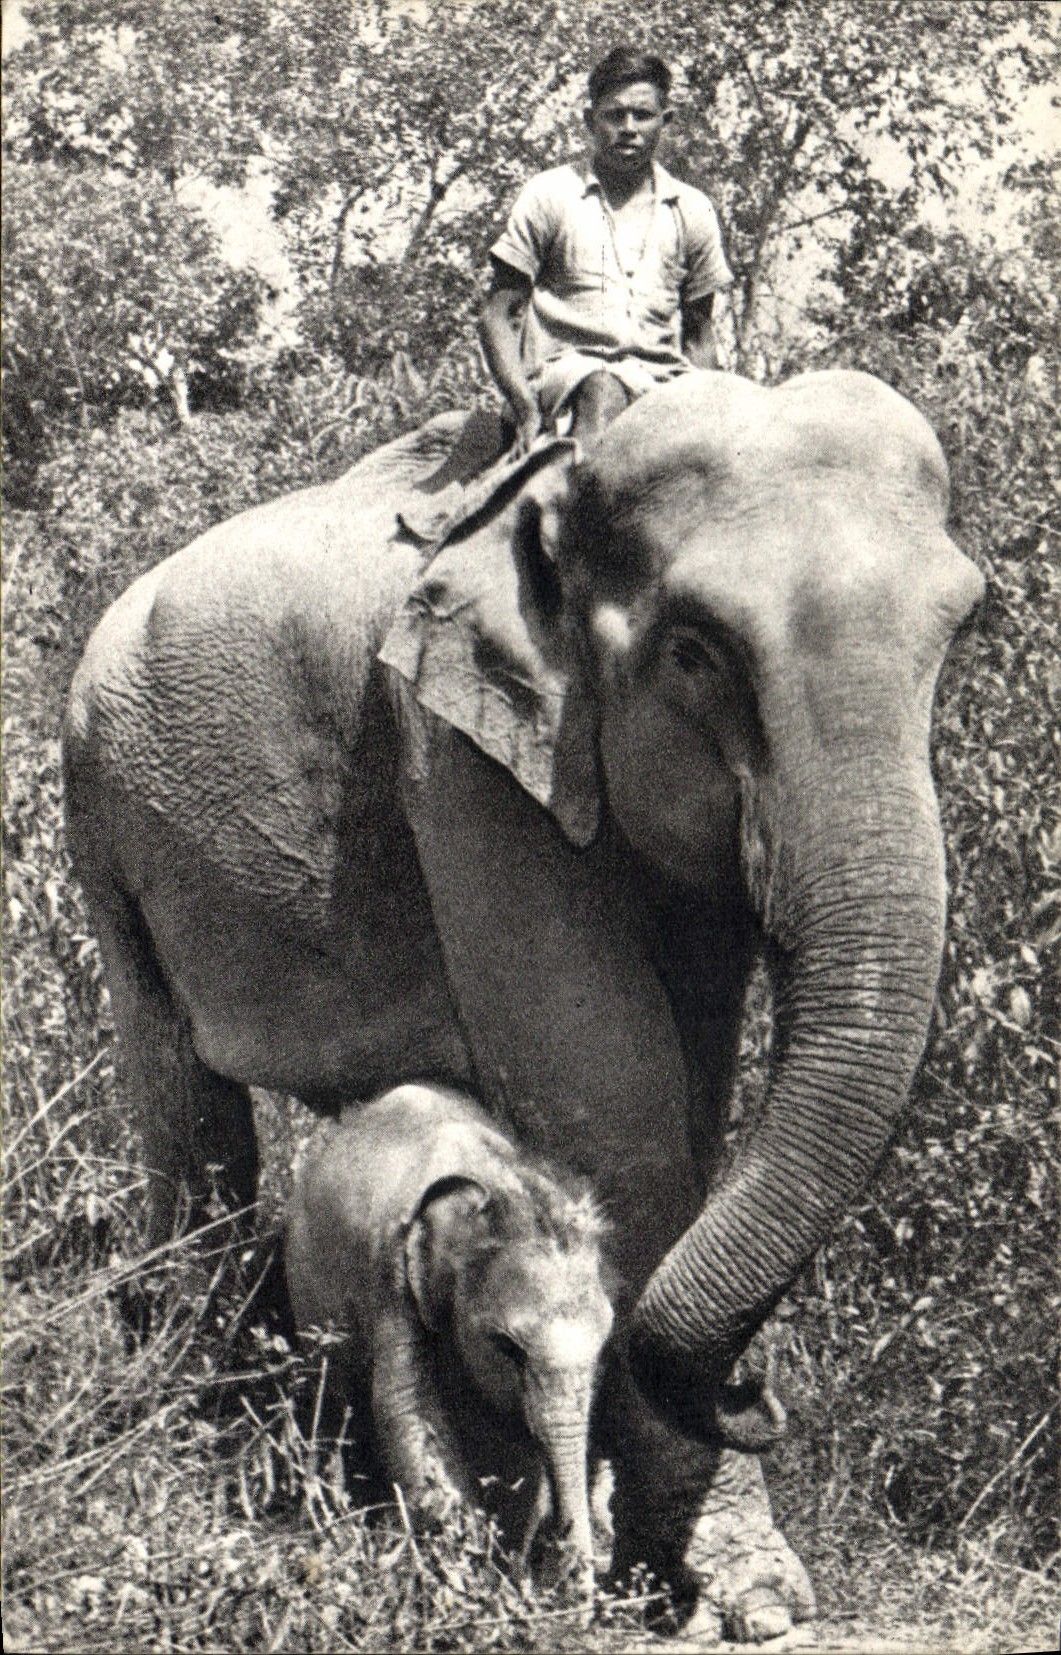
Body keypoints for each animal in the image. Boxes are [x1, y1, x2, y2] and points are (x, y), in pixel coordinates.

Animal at [284, 1081, 613, 1596]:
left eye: (602, 1350)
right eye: (508, 1348)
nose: (565, 1558)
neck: (493, 1185)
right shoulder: (391, 1279)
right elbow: (411, 1412)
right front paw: (475, 1577)